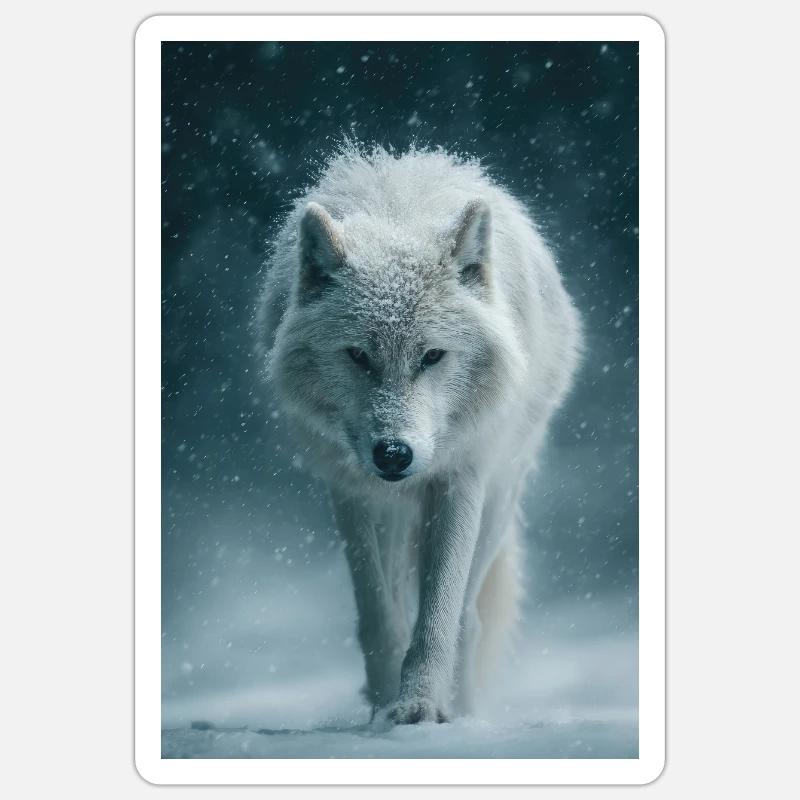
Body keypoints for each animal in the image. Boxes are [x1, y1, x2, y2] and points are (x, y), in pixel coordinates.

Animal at [257, 144, 581, 724]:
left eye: (432, 356)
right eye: (358, 356)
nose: (394, 454)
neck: (398, 217)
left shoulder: (460, 478)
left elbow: (438, 617)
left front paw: (419, 707)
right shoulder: (353, 493)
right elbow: (380, 618)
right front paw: (384, 707)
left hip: (500, 497)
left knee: (470, 617)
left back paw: (467, 711)